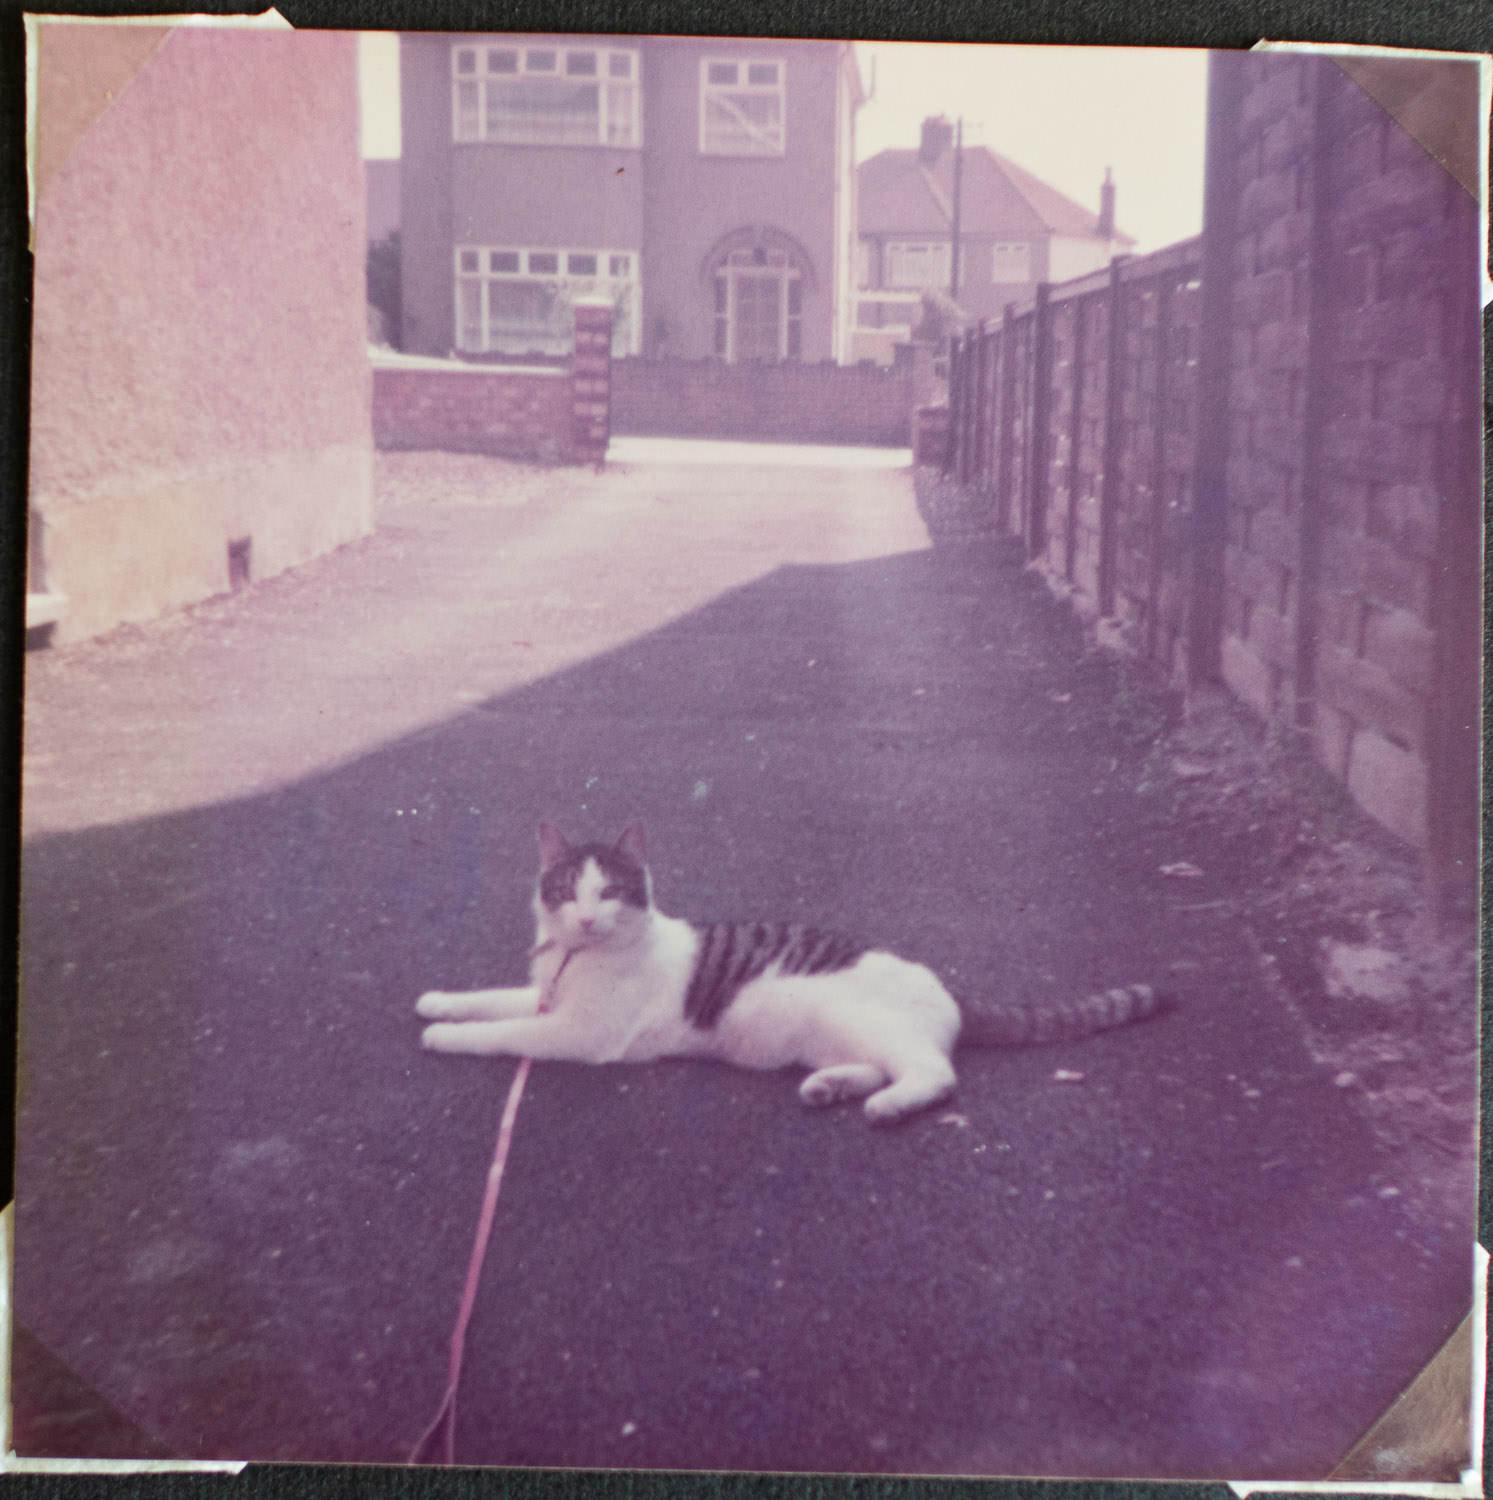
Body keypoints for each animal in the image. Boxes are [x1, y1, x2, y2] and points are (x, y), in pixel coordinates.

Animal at [417, 822, 1170, 1128]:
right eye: (568, 889)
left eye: (609, 893)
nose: (585, 919)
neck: (575, 960)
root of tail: (947, 987)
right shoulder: (546, 996)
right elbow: (494, 998)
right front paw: (437, 1001)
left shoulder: (579, 1034)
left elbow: (503, 1032)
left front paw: (443, 1039)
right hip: (828, 1037)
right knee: (888, 1064)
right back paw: (830, 1088)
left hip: (854, 1017)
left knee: (934, 1072)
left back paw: (885, 1107)